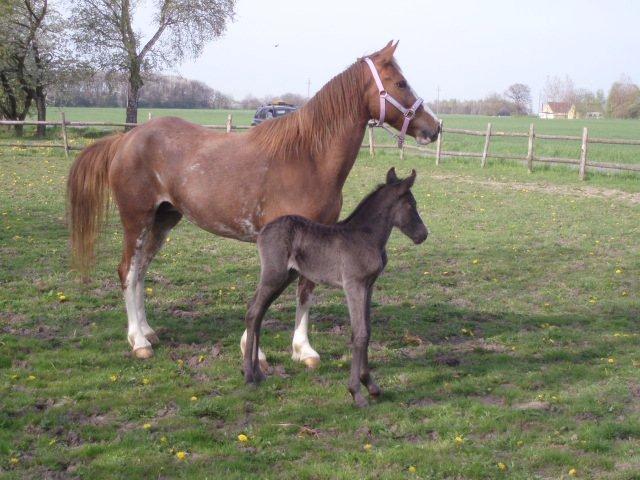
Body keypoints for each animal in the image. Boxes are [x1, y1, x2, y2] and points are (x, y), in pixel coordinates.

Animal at [67, 41, 442, 366]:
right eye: (400, 82)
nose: (434, 127)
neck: (307, 158)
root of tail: (126, 138)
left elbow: (306, 290)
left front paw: (303, 350)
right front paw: (255, 351)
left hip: (163, 220)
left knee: (142, 270)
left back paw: (147, 331)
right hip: (137, 219)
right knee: (128, 270)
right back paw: (138, 342)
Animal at [242, 168, 428, 404]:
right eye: (412, 205)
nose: (423, 235)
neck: (365, 236)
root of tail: (263, 230)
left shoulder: (368, 286)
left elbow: (367, 329)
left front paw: (370, 385)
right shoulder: (353, 285)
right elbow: (360, 333)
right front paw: (356, 392)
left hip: (285, 277)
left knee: (258, 313)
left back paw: (258, 373)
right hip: (273, 275)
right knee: (253, 312)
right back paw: (249, 375)